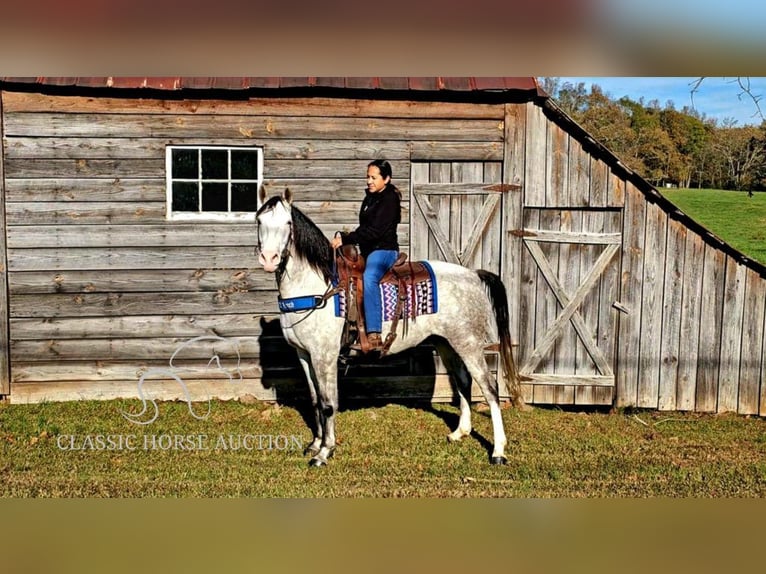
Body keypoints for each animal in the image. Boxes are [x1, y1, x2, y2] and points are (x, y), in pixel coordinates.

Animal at [255, 189, 524, 468]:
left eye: (288, 223)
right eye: (259, 221)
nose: (269, 259)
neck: (318, 287)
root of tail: (473, 274)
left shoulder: (324, 356)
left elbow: (328, 404)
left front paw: (324, 452)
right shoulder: (304, 355)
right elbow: (315, 400)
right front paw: (315, 444)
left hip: (469, 344)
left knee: (490, 389)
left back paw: (498, 451)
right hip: (448, 343)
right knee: (463, 382)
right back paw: (459, 433)